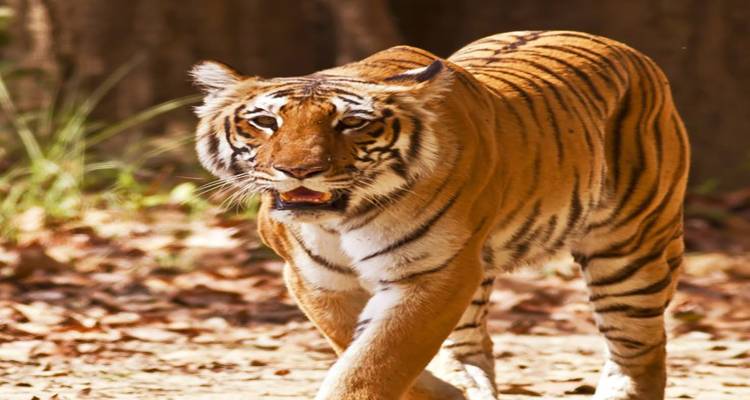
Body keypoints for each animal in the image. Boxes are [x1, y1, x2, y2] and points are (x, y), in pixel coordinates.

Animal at [190, 30, 689, 400]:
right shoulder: (314, 278)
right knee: (470, 344)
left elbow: (378, 358)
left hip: (629, 252)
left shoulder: (435, 272)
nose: (298, 170)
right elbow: (354, 341)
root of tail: (627, 49)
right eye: (264, 122)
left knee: (640, 351)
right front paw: (445, 392)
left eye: (351, 124)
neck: (340, 219)